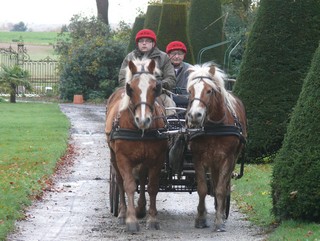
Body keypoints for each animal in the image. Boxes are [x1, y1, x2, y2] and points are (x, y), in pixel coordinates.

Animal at [105, 58, 168, 232]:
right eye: (131, 88)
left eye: (155, 87)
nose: (143, 120)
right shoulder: (123, 158)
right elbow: (129, 186)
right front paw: (131, 220)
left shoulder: (157, 158)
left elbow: (152, 186)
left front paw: (152, 219)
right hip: (113, 157)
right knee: (120, 181)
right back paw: (122, 213)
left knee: (142, 177)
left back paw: (141, 208)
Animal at [185, 63, 248, 233]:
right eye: (190, 91)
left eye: (209, 90)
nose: (195, 115)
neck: (214, 127)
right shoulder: (198, 157)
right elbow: (202, 188)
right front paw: (201, 218)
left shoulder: (227, 158)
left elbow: (220, 189)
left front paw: (219, 220)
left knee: (223, 185)